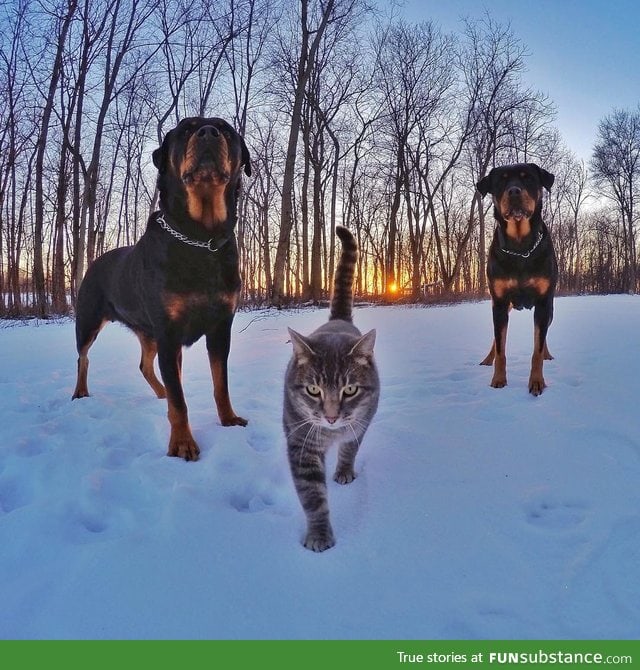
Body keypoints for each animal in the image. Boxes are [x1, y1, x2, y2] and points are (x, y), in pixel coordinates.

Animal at [282, 226, 378, 552]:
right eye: (313, 390)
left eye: (350, 390)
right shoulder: (301, 443)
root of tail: (338, 319)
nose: (332, 417)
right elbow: (313, 497)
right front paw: (319, 535)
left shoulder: (360, 423)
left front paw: (344, 470)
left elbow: (350, 447)